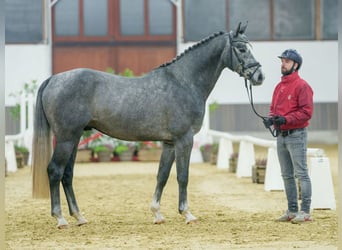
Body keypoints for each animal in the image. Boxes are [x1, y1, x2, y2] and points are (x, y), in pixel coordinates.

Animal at [32, 23, 264, 229]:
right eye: (242, 48)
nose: (259, 76)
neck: (183, 82)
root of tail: (54, 79)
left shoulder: (169, 143)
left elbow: (162, 175)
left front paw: (157, 214)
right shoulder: (184, 140)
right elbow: (183, 176)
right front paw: (187, 214)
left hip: (74, 137)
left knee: (67, 174)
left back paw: (79, 217)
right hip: (66, 138)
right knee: (55, 171)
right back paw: (60, 219)